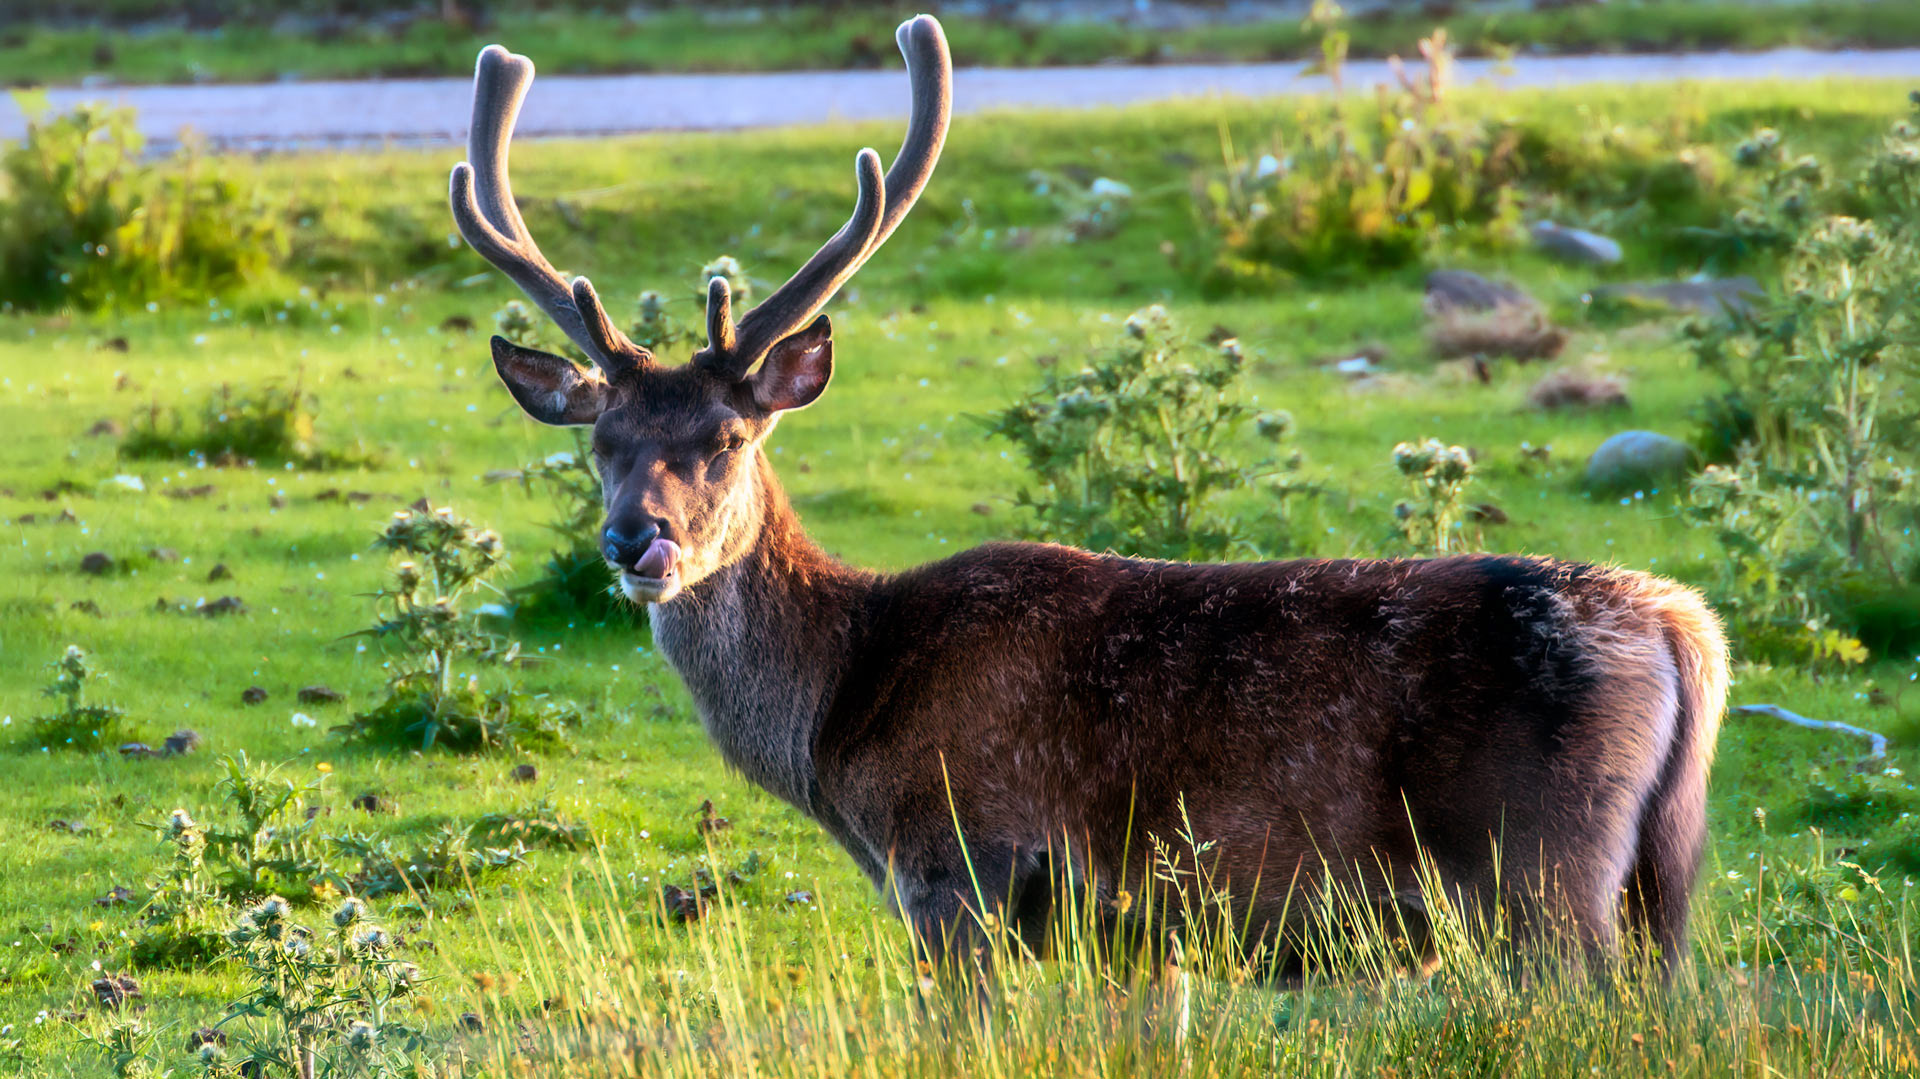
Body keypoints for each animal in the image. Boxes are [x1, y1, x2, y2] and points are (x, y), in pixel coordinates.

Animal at [449, 14, 1728, 980]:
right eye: (602, 441)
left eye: (724, 436)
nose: (636, 540)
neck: (839, 721)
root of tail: (1684, 629)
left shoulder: (959, 867)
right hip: (1656, 878)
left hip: (1542, 866)